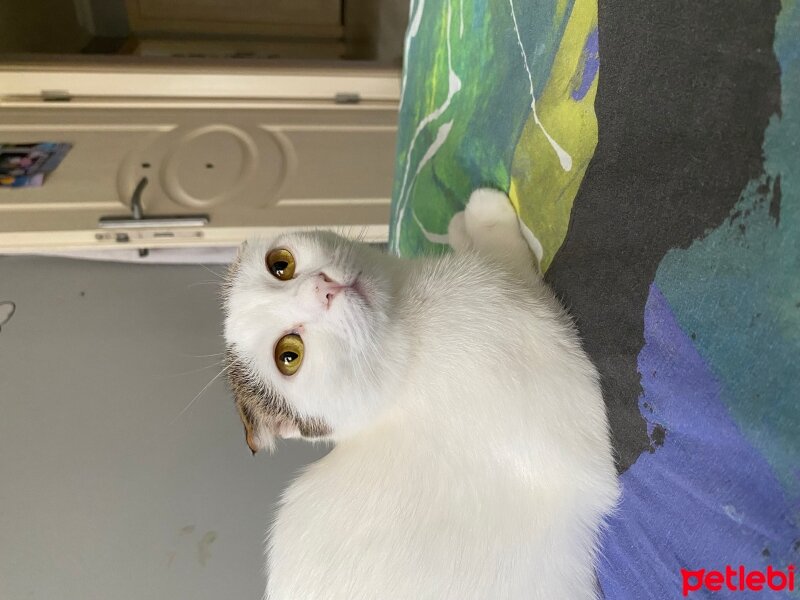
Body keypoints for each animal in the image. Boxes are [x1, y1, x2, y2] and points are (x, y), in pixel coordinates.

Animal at [222, 190, 620, 596]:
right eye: (289, 356)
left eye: (280, 264)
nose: (323, 288)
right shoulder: (538, 330)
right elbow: (509, 257)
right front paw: (485, 213)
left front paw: (460, 226)